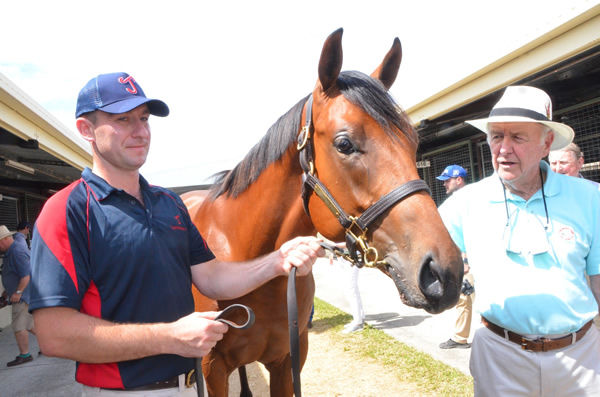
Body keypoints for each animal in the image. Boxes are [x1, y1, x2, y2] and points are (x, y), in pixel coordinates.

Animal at [183, 28, 464, 396]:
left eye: (413, 141)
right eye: (344, 144)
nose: (445, 273)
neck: (248, 262)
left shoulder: (288, 360)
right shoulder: (211, 369)